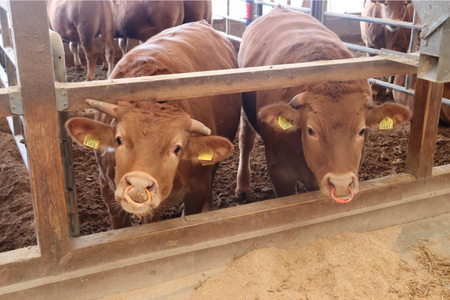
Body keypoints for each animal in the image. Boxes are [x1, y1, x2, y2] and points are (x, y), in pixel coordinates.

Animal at [236, 6, 412, 204]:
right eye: (311, 130)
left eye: (362, 131)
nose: (341, 184)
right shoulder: (279, 172)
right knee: (246, 141)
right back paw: (243, 187)